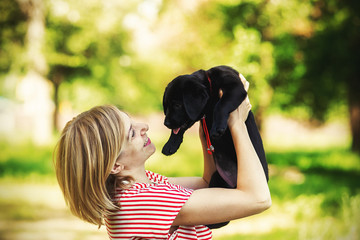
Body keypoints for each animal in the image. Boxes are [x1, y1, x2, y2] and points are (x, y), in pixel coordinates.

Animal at [162, 65, 268, 227]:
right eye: (166, 106)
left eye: (178, 105)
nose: (166, 123)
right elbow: (178, 131)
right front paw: (170, 145)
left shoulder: (235, 87)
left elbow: (221, 105)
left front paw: (217, 128)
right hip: (217, 179)